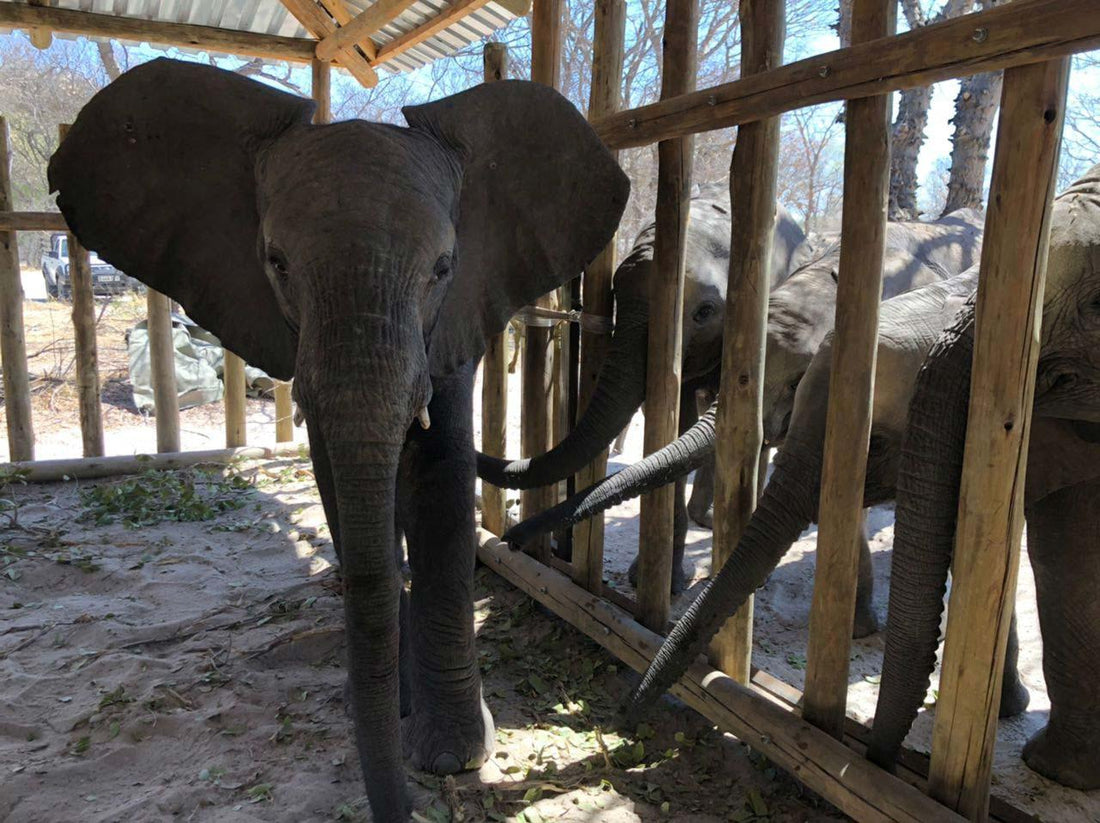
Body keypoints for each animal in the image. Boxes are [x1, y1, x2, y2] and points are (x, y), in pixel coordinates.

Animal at [49, 59, 629, 823]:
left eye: (444, 267)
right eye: (276, 262)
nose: (403, 807)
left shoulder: (457, 314)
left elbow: (441, 476)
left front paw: (453, 755)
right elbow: (341, 482)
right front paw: (390, 707)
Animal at [475, 189, 809, 594]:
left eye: (705, 312)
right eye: (615, 295)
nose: (511, 541)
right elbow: (678, 428)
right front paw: (659, 582)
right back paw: (705, 518)